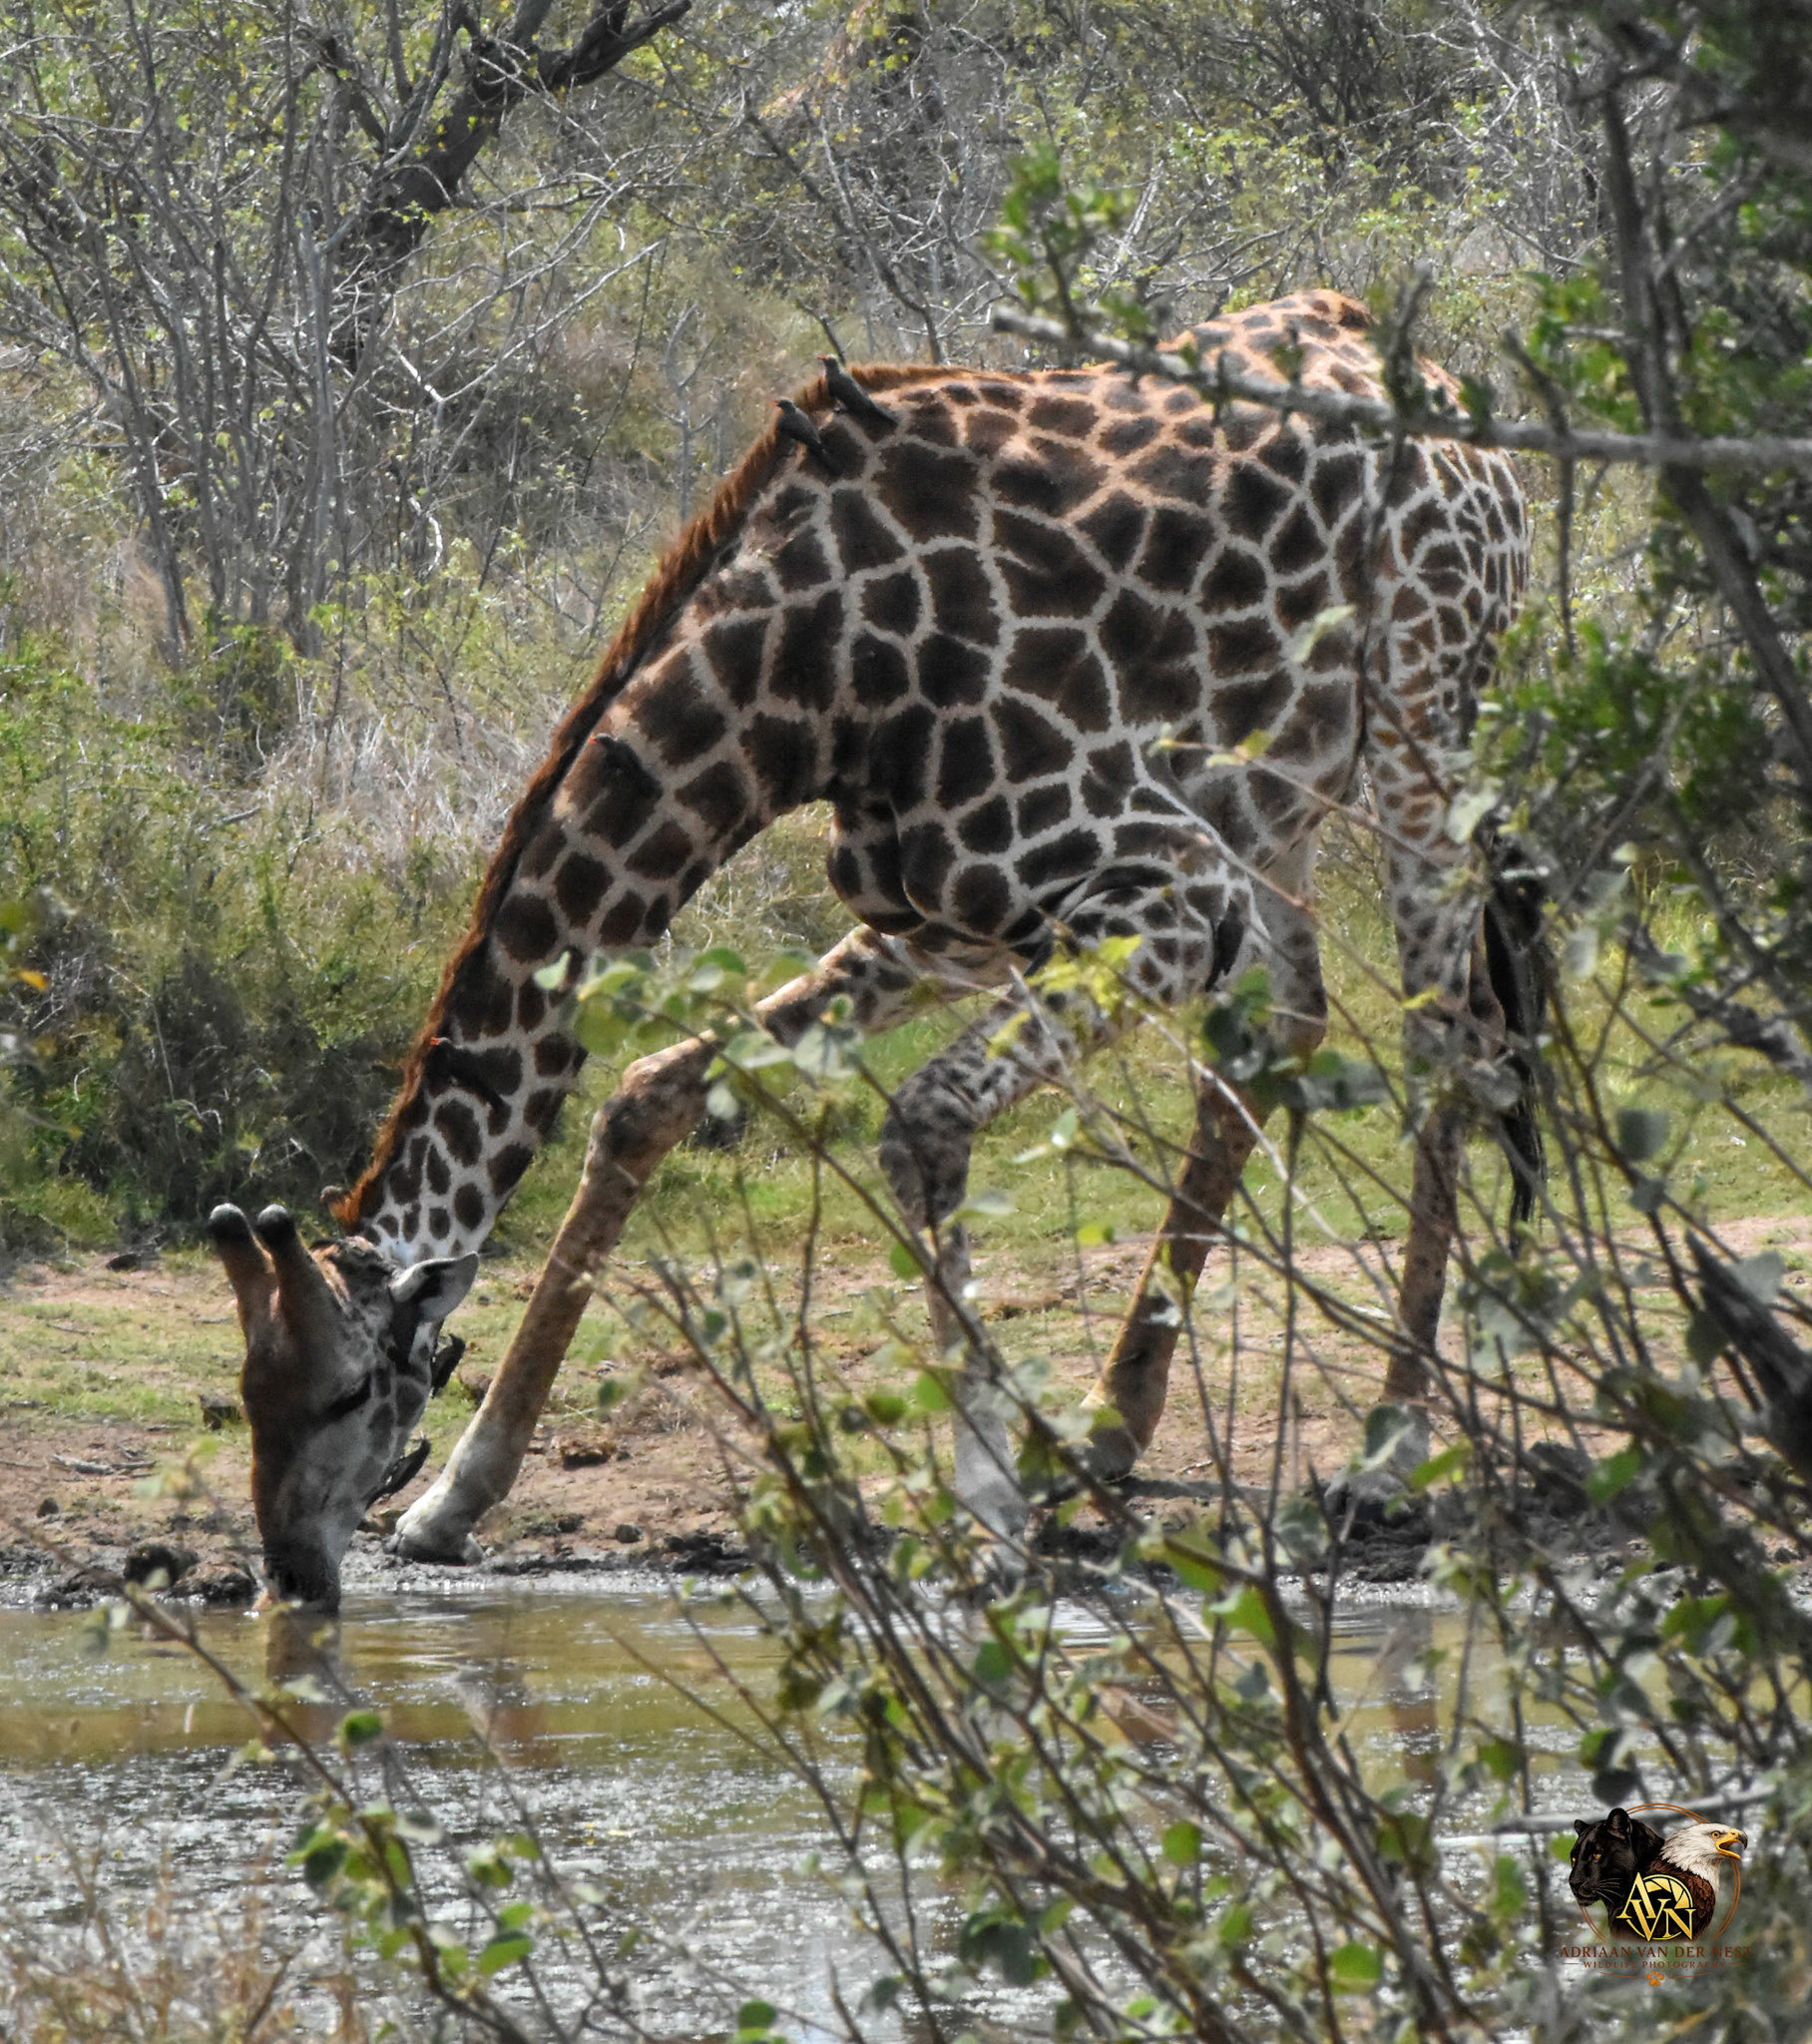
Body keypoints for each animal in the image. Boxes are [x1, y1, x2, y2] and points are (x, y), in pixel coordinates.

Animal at [207, 291, 1532, 1607]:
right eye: (245, 1394)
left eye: (345, 1391)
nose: (291, 1571)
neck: (805, 681)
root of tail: (1434, 384)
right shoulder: (946, 919)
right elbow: (645, 1095)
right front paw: (455, 1494)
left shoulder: (1161, 879)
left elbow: (922, 1117)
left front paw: (988, 1502)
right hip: (1275, 806)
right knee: (1290, 1029)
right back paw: (1114, 1421)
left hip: (1422, 736)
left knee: (1446, 1047)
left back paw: (1388, 1446)